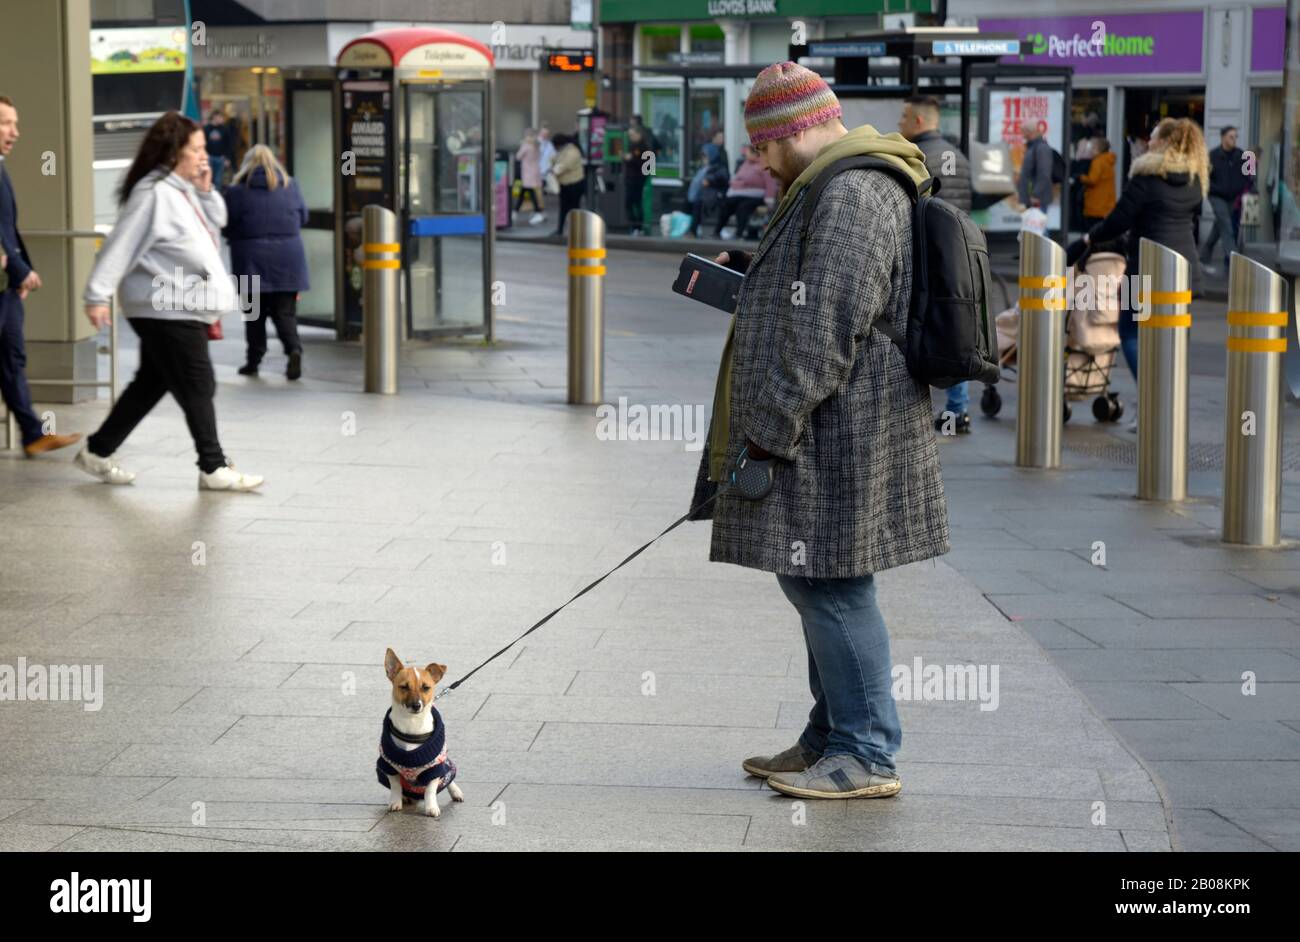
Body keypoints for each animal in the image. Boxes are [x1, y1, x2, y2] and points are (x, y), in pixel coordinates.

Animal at [379, 647, 465, 815]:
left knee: (449, 777)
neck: (412, 725)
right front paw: (395, 802)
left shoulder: (434, 768)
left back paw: (456, 792)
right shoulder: (388, 765)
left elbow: (430, 790)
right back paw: (406, 797)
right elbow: (395, 786)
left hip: (445, 764)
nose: (416, 705)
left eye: (426, 687)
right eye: (404, 687)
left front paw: (431, 808)